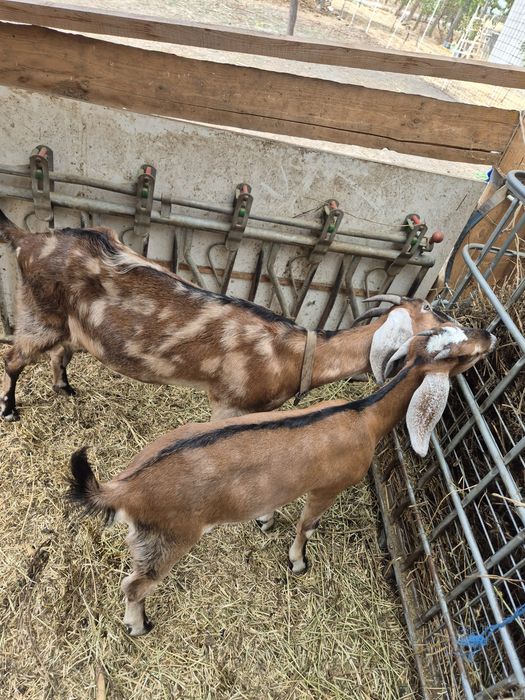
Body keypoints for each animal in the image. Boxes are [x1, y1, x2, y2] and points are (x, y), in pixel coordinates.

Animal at [0, 209, 451, 421]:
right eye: (433, 320)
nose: (468, 330)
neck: (293, 353)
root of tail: (26, 240)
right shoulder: (228, 404)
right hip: (37, 315)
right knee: (14, 358)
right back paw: (9, 410)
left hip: (69, 325)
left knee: (60, 354)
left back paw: (65, 389)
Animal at [68, 326, 495, 635]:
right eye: (463, 355)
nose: (489, 336)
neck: (364, 416)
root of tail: (124, 487)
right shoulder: (327, 487)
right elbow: (308, 525)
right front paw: (298, 562)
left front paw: (265, 521)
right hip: (169, 536)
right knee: (134, 585)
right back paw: (138, 626)